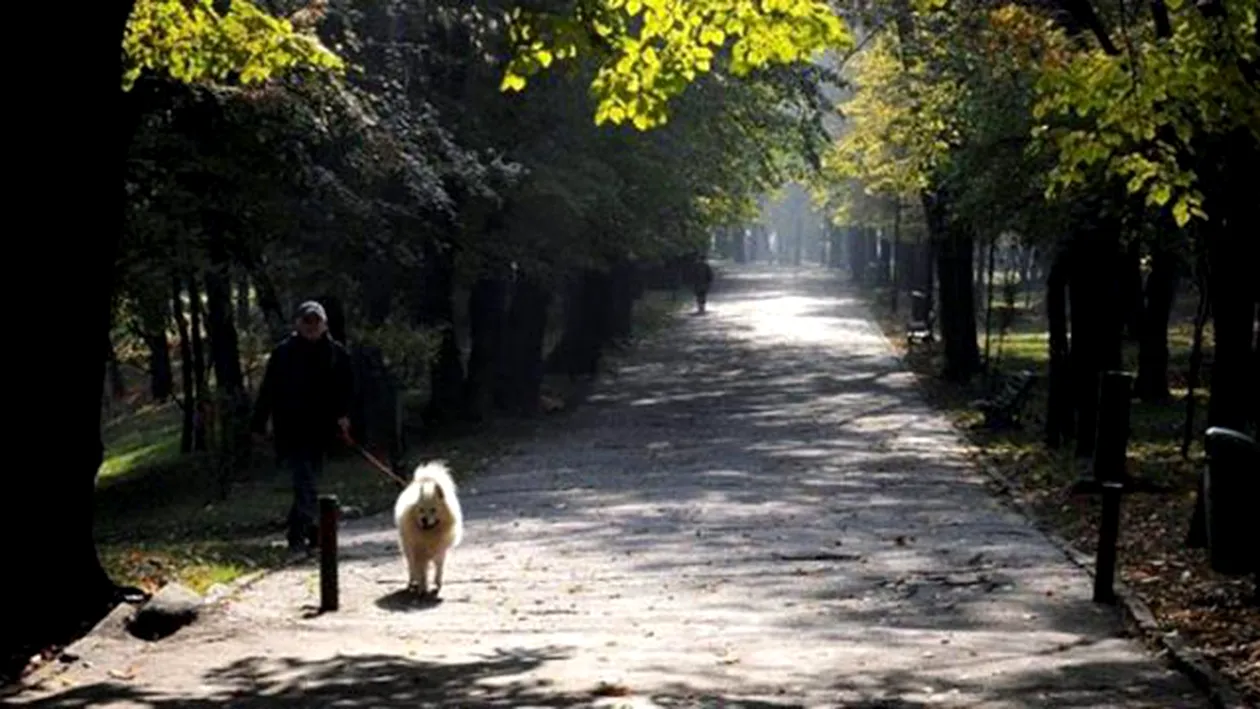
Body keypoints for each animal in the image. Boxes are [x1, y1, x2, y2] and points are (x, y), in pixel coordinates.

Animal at [393, 460, 463, 599]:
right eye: (420, 510)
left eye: (433, 510)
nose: (424, 519)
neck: (430, 535)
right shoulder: (419, 553)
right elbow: (422, 572)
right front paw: (422, 587)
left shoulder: (440, 552)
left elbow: (439, 569)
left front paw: (437, 582)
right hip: (407, 547)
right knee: (411, 566)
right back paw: (412, 582)